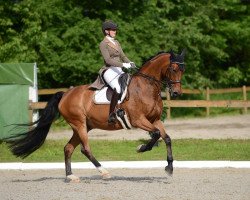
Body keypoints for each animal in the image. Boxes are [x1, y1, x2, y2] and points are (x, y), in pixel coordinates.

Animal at [4, 49, 186, 181]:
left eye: (183, 70)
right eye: (173, 69)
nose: (176, 93)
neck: (146, 87)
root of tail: (65, 94)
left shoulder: (154, 119)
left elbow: (166, 137)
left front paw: (169, 168)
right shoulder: (138, 120)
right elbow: (155, 134)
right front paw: (141, 148)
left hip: (83, 126)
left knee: (68, 148)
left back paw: (71, 176)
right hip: (79, 124)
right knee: (85, 149)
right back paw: (104, 172)